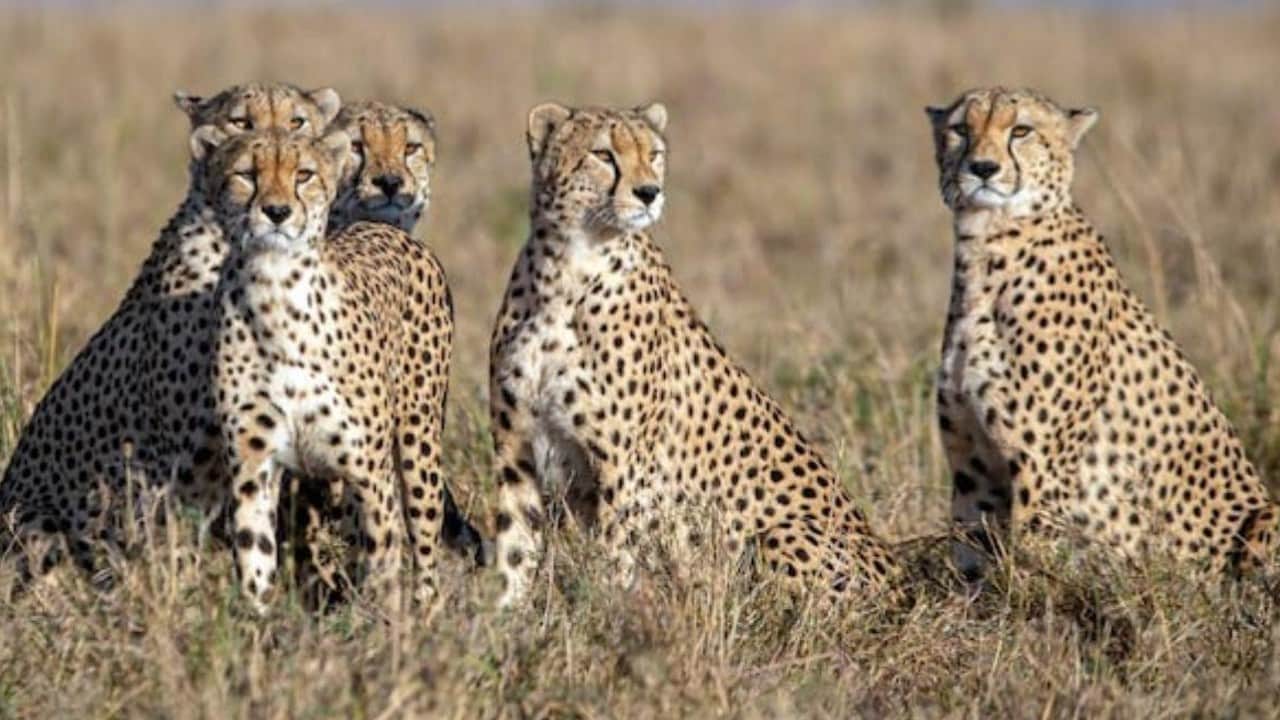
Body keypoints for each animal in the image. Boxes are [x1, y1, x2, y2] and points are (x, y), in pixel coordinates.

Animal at [203, 126, 455, 611]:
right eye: (246, 174)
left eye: (303, 175)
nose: (277, 212)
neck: (275, 292)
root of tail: (380, 225)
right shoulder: (251, 467)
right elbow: (255, 558)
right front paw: (258, 623)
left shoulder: (370, 472)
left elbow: (383, 566)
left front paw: (385, 626)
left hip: (417, 444)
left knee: (425, 552)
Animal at [487, 101, 902, 608]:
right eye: (603, 155)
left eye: (654, 154)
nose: (649, 192)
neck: (566, 269)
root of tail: (901, 580)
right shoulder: (517, 448)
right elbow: (513, 549)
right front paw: (503, 619)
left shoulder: (624, 468)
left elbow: (613, 559)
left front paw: (607, 616)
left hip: (780, 535)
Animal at [927, 86, 1278, 580]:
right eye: (960, 129)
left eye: (1021, 130)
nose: (982, 168)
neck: (987, 247)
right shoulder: (973, 470)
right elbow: (971, 561)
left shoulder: (1043, 475)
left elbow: (1030, 569)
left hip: (1266, 516)